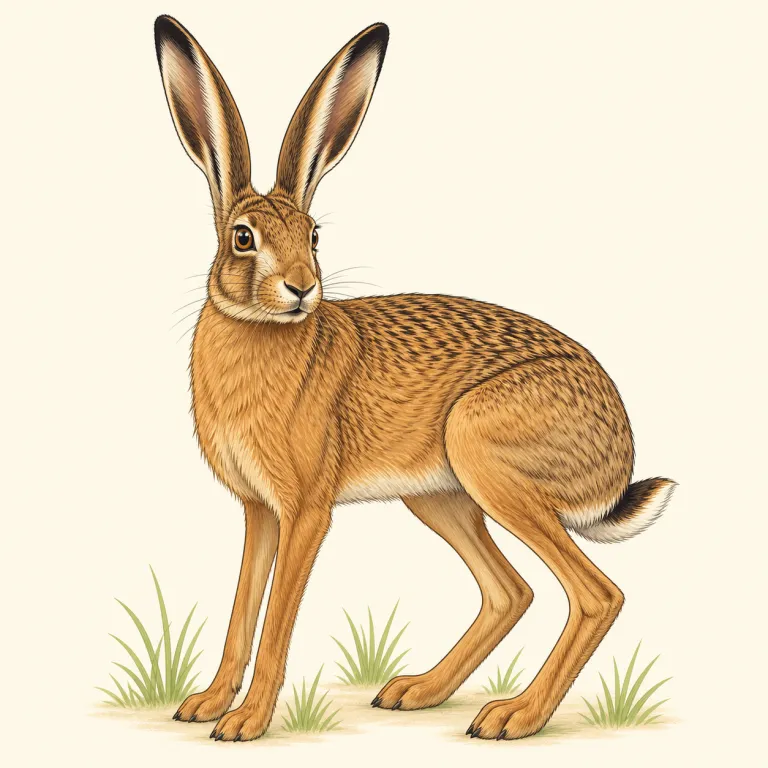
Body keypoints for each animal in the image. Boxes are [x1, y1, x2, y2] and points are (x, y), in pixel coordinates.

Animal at [154, 15, 676, 742]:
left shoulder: (306, 509)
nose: (302, 289)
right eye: (242, 237)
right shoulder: (259, 510)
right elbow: (243, 608)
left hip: (488, 457)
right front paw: (205, 704)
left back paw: (513, 717)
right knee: (510, 591)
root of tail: (616, 458)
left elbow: (278, 617)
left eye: (314, 235)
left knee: (597, 595)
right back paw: (417, 691)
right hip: (443, 494)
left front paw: (246, 723)